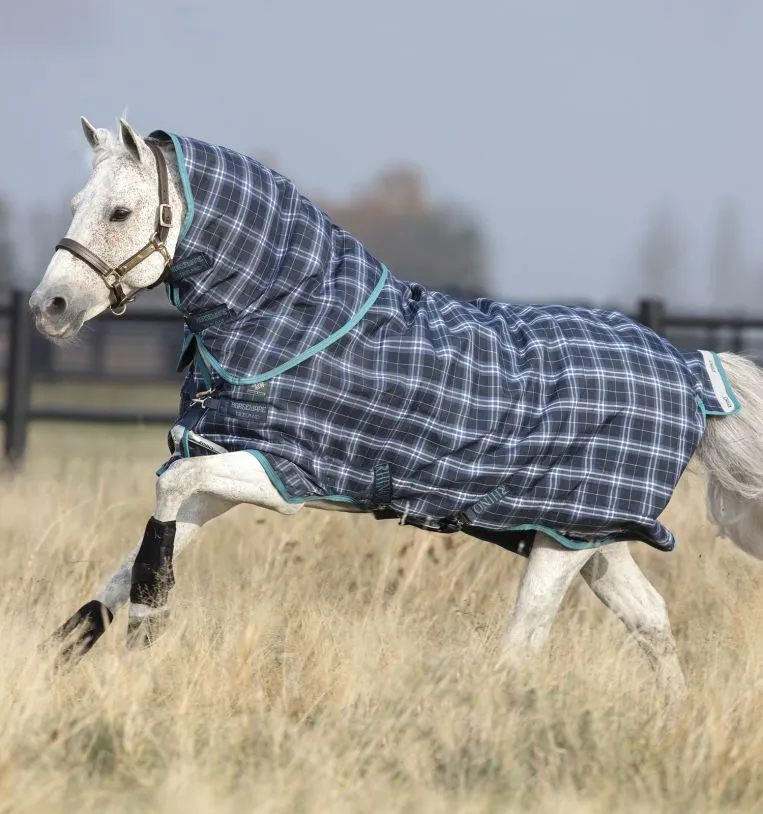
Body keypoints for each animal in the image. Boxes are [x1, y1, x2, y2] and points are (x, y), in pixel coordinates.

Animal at [29, 117, 763, 699]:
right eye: (77, 203)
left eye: (120, 212)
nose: (49, 307)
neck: (297, 320)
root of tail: (687, 368)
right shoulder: (224, 470)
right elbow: (136, 551)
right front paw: (64, 653)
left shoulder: (280, 475)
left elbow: (164, 508)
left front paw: (147, 631)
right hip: (587, 536)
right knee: (650, 621)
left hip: (565, 540)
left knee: (525, 644)